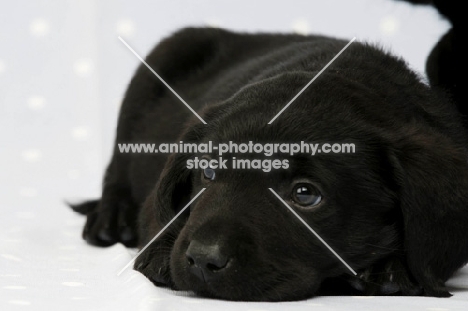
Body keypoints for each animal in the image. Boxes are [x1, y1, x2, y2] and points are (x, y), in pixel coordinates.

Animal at [71, 4, 468, 302]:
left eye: (305, 194)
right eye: (208, 173)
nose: (203, 259)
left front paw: (391, 268)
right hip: (163, 59)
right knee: (117, 165)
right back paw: (111, 218)